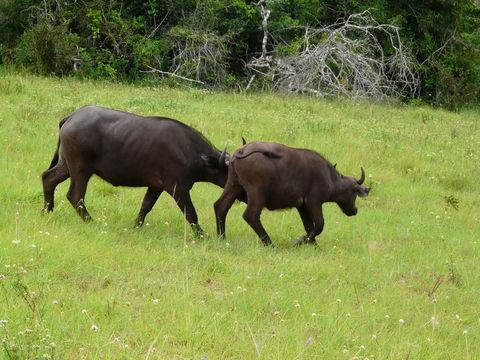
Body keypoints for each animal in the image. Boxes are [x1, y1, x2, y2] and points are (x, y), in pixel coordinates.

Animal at [41, 105, 229, 233]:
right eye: (230, 170)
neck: (191, 152)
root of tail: (73, 116)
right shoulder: (178, 188)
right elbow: (190, 213)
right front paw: (201, 235)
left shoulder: (156, 186)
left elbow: (146, 206)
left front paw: (136, 226)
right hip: (81, 169)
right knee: (75, 196)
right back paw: (91, 221)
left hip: (67, 165)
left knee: (48, 178)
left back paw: (46, 211)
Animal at [215, 142, 372, 246]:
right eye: (354, 193)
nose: (354, 210)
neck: (330, 178)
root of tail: (241, 151)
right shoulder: (314, 202)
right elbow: (319, 225)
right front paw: (301, 241)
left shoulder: (301, 206)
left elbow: (309, 226)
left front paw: (313, 244)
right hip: (257, 192)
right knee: (251, 215)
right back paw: (270, 243)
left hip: (233, 185)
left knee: (220, 206)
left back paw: (222, 237)